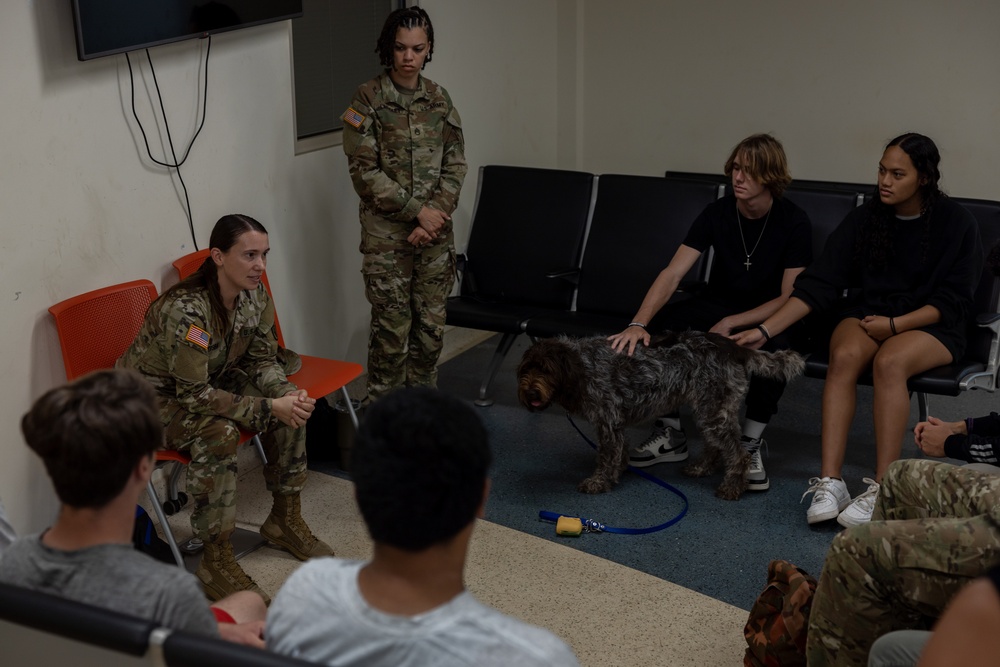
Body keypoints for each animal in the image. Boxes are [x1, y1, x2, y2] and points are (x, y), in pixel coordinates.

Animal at [516, 332, 804, 498]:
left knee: (739, 453)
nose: (530, 392)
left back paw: (732, 487)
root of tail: (734, 347)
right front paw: (618, 472)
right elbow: (619, 451)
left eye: (546, 370)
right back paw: (701, 468)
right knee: (715, 445)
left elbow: (606, 456)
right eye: (526, 369)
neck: (582, 366)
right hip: (712, 408)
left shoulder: (608, 421)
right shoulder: (615, 423)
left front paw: (600, 481)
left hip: (713, 408)